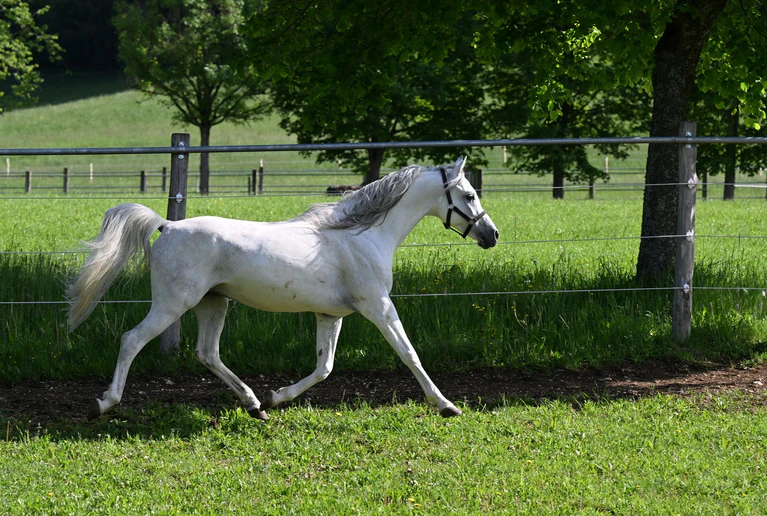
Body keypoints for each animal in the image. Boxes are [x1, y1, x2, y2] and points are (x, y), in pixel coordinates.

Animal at [67, 156, 499, 420]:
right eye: (469, 194)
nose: (491, 235)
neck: (361, 234)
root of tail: (167, 226)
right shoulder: (378, 306)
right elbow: (409, 354)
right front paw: (446, 405)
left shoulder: (331, 314)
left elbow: (324, 367)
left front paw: (277, 396)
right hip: (173, 304)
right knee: (132, 340)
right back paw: (102, 404)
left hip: (213, 304)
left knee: (207, 353)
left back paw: (255, 404)